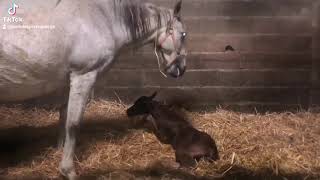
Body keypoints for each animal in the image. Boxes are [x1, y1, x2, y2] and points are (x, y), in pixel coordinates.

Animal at [0, 0, 188, 179]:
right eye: (183, 34)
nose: (181, 69)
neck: (104, 19)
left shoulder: (69, 79)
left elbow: (64, 115)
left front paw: (59, 151)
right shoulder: (83, 77)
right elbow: (73, 124)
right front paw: (68, 170)